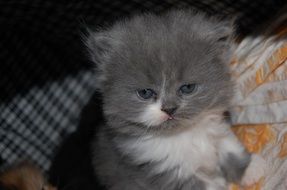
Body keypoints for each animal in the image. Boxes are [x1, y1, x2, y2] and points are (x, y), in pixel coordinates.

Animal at [85, 9, 260, 190]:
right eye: (145, 93)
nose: (169, 108)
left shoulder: (217, 128)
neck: (183, 134)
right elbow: (204, 185)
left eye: (187, 88)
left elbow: (230, 145)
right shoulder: (164, 171)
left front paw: (250, 169)